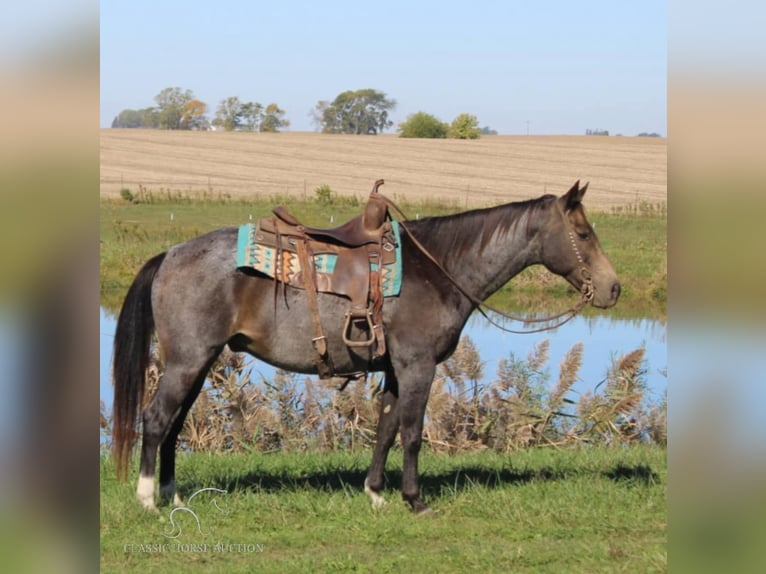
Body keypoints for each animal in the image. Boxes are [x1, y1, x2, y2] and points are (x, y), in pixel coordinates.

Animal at [111, 180, 620, 512]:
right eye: (583, 233)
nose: (613, 288)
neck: (437, 270)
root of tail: (170, 254)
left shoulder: (395, 367)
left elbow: (386, 428)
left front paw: (375, 493)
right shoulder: (418, 365)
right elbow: (412, 432)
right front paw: (415, 500)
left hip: (199, 363)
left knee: (174, 423)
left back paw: (171, 493)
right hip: (187, 361)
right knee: (156, 418)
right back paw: (147, 499)